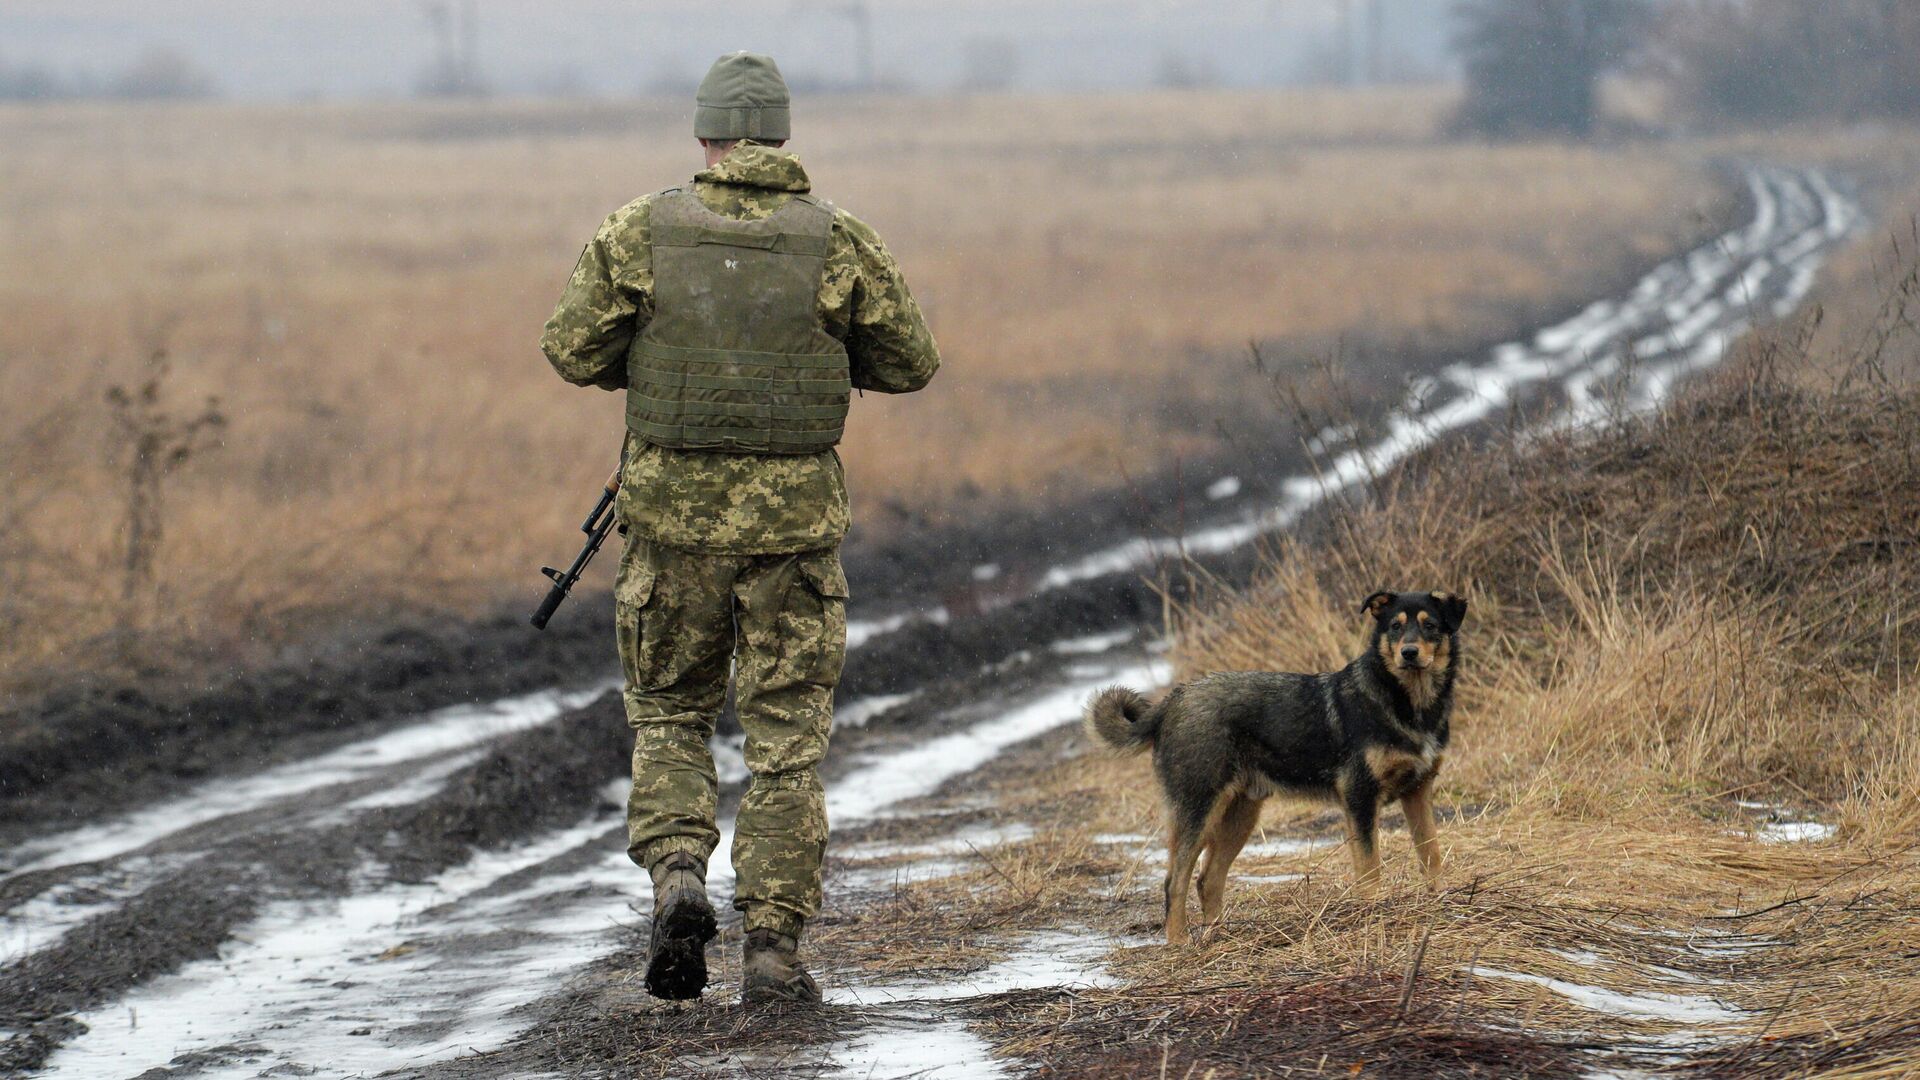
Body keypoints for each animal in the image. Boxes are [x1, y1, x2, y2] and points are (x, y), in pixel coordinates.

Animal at [1082, 588, 1466, 941]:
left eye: (1430, 625)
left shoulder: (1418, 793)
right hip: (1199, 810)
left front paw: (1439, 902)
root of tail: (1174, 699)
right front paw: (1375, 915)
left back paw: (1218, 938)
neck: (1409, 703)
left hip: (1239, 816)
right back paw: (1179, 944)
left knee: (1208, 879)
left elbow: (1431, 854)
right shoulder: (1360, 797)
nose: (1409, 653)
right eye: (1395, 627)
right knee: (1174, 881)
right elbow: (1370, 869)